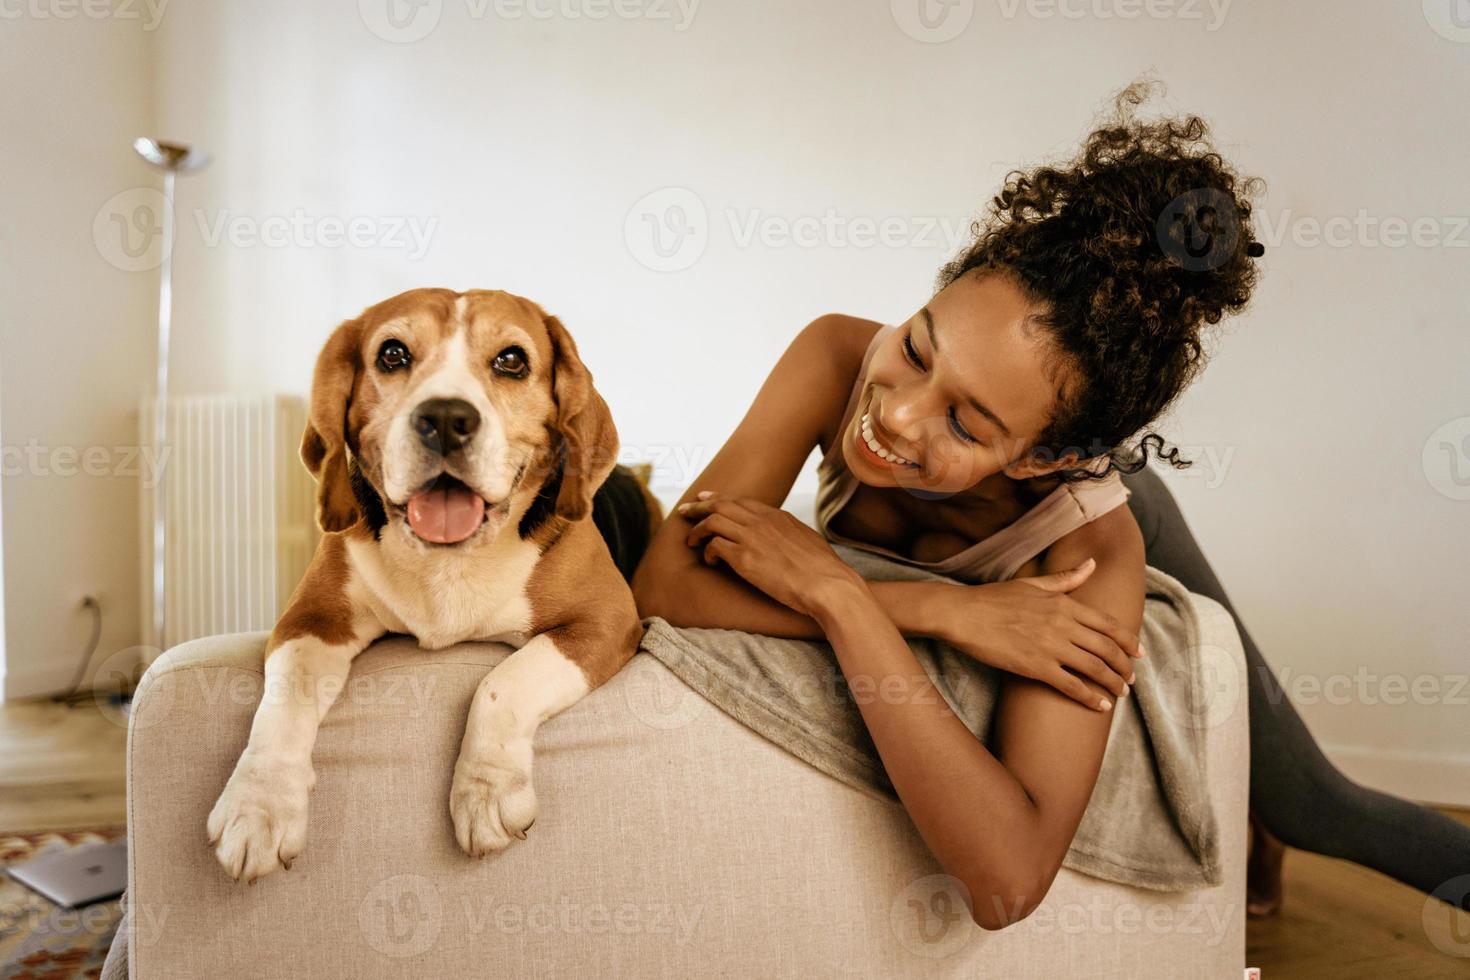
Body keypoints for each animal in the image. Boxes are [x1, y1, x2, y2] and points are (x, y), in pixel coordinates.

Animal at [205, 287, 649, 887]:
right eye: (392, 354)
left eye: (512, 360)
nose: (444, 417)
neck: (449, 559)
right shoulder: (311, 619)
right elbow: (285, 696)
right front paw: (258, 805)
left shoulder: (607, 619)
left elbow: (504, 681)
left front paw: (486, 792)